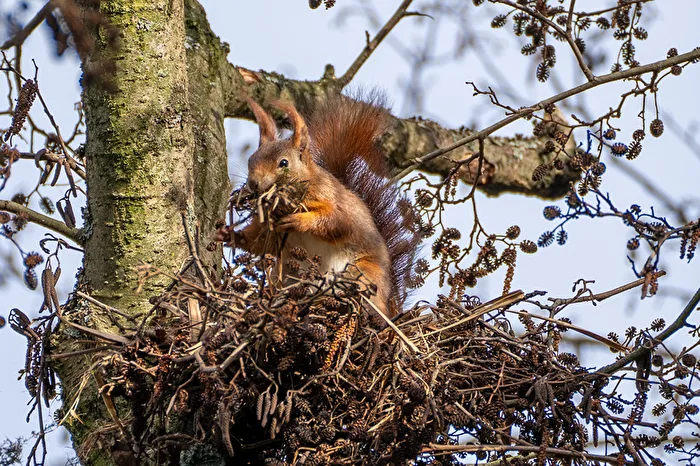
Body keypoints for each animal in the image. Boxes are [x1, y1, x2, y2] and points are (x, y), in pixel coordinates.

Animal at [216, 93, 419, 318]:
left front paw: (299, 220)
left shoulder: (335, 200)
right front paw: (230, 234)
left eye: (284, 163)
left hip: (363, 274)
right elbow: (259, 242)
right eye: (251, 160)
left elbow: (337, 223)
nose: (254, 183)